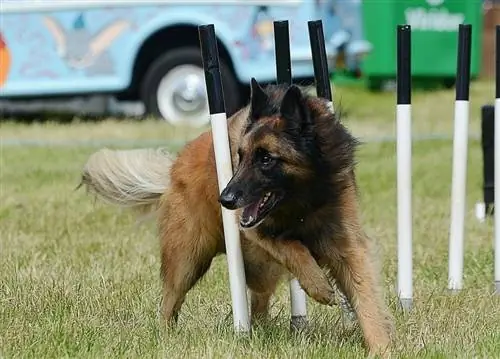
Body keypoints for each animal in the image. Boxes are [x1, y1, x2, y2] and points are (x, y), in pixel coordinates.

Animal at [80, 79, 394, 358]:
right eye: (240, 157)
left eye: (266, 158)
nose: (226, 199)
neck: (302, 199)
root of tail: (174, 168)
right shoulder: (254, 230)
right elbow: (291, 246)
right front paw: (318, 285)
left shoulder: (347, 245)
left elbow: (365, 297)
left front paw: (381, 348)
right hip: (188, 259)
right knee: (170, 302)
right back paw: (167, 338)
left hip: (260, 269)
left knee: (258, 304)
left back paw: (264, 331)